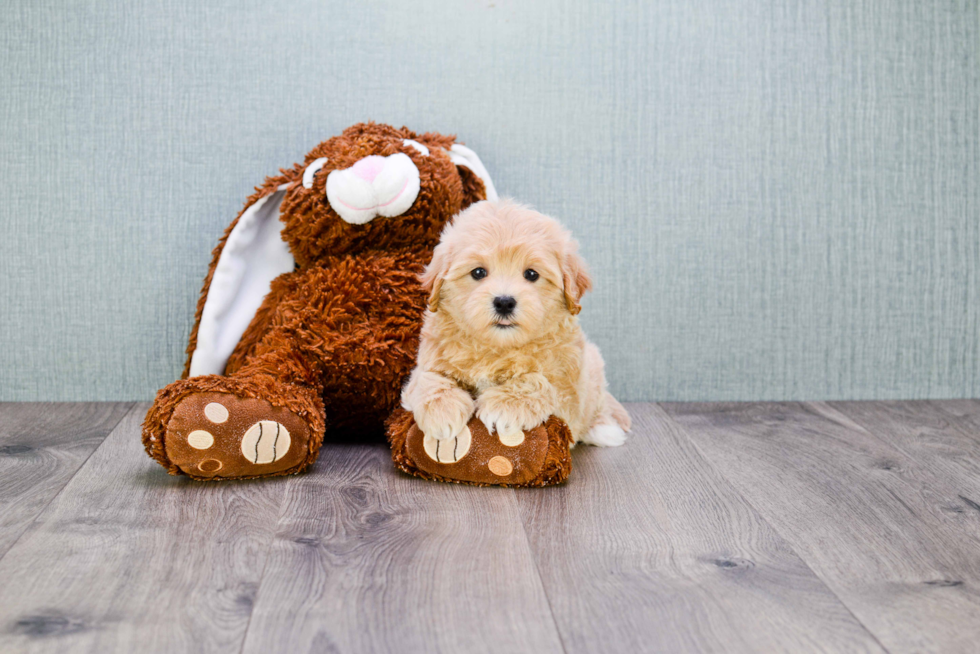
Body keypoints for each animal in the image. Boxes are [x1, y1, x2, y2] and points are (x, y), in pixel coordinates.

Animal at [402, 200, 632, 452]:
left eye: (531, 274)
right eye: (478, 272)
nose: (504, 302)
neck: (498, 348)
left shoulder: (569, 395)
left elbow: (543, 384)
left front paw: (504, 405)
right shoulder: (427, 361)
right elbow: (429, 378)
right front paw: (441, 411)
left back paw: (604, 430)